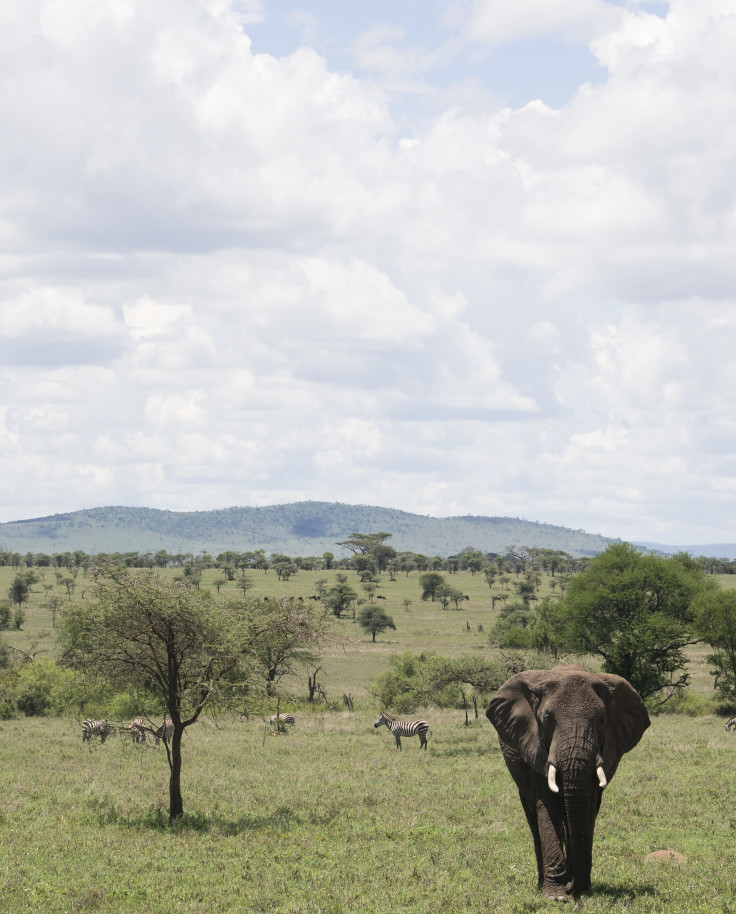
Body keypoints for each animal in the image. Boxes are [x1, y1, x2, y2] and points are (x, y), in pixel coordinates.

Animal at [488, 664, 648, 896]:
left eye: (602, 720)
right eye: (547, 719)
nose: (571, 888)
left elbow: (588, 805)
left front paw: (579, 889)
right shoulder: (536, 746)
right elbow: (547, 804)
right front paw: (556, 895)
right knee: (532, 813)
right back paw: (541, 883)